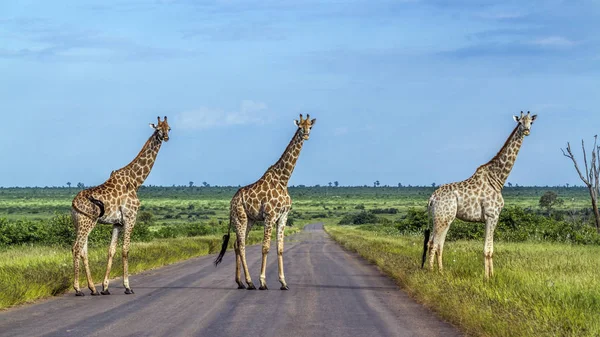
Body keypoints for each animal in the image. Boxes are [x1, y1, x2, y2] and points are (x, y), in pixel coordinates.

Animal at [72, 115, 172, 294]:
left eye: (169, 128)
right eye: (158, 129)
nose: (166, 137)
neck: (136, 181)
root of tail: (73, 203)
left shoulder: (117, 223)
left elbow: (111, 250)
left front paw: (105, 287)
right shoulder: (130, 218)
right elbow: (125, 250)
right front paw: (127, 287)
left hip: (80, 223)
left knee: (82, 250)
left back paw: (93, 289)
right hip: (87, 222)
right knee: (77, 248)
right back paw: (78, 289)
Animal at [216, 113, 318, 288]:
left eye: (310, 126)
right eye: (300, 127)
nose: (305, 135)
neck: (283, 180)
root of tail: (231, 203)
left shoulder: (283, 216)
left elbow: (280, 248)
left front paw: (283, 282)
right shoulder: (270, 216)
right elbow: (265, 247)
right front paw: (263, 282)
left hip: (249, 220)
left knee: (236, 244)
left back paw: (240, 282)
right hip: (240, 217)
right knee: (241, 245)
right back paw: (250, 282)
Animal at [424, 110, 536, 278]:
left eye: (531, 122)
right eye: (520, 122)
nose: (527, 131)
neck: (497, 179)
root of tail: (432, 198)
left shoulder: (491, 218)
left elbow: (490, 250)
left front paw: (492, 276)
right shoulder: (492, 215)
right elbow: (487, 250)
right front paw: (487, 278)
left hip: (442, 218)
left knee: (437, 243)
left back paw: (441, 271)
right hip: (443, 218)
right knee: (434, 243)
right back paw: (431, 272)